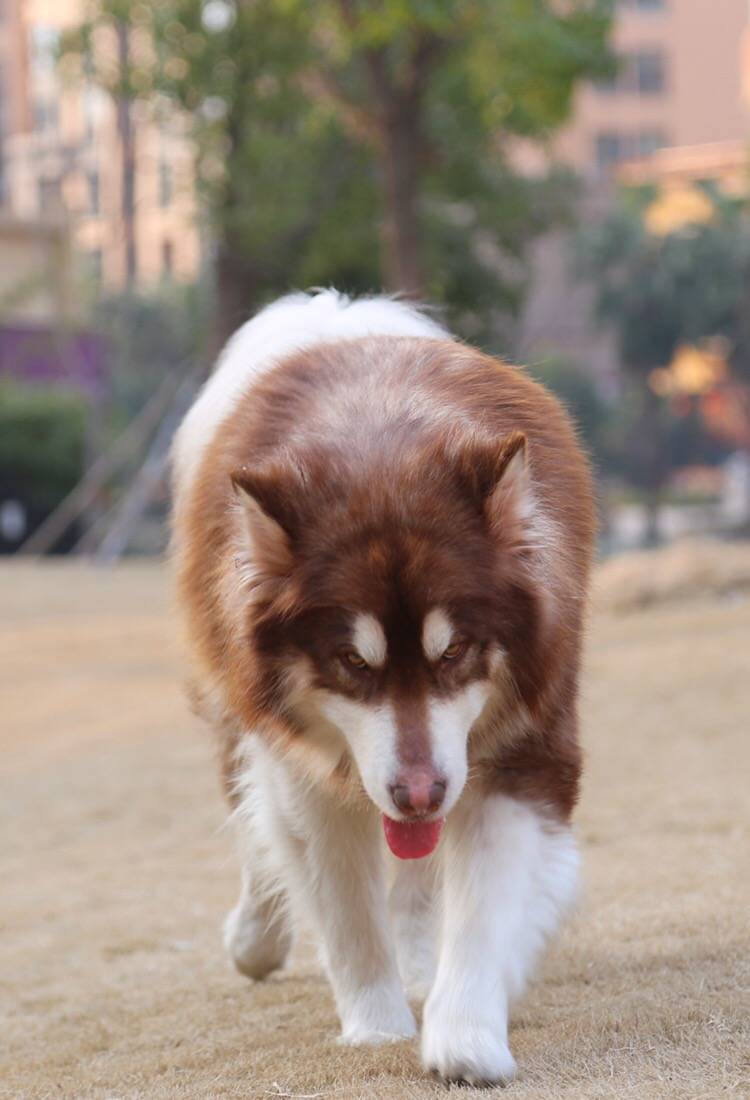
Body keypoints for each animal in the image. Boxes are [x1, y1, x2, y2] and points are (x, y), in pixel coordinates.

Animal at [170, 290, 593, 1082]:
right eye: (353, 663)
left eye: (454, 651)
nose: (418, 794)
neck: (383, 457)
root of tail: (338, 316)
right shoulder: (304, 770)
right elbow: (345, 909)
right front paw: (375, 1025)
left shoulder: (527, 743)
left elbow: (484, 900)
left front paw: (464, 1035)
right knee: (254, 822)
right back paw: (257, 937)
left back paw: (422, 963)